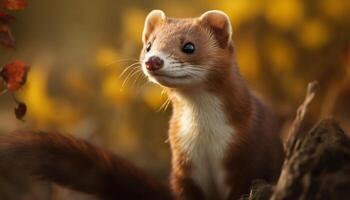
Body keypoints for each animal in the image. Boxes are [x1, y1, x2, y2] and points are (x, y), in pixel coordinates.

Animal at [140, 10, 284, 199]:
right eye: (149, 45)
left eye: (189, 46)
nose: (153, 61)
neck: (205, 136)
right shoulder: (182, 170)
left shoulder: (250, 159)